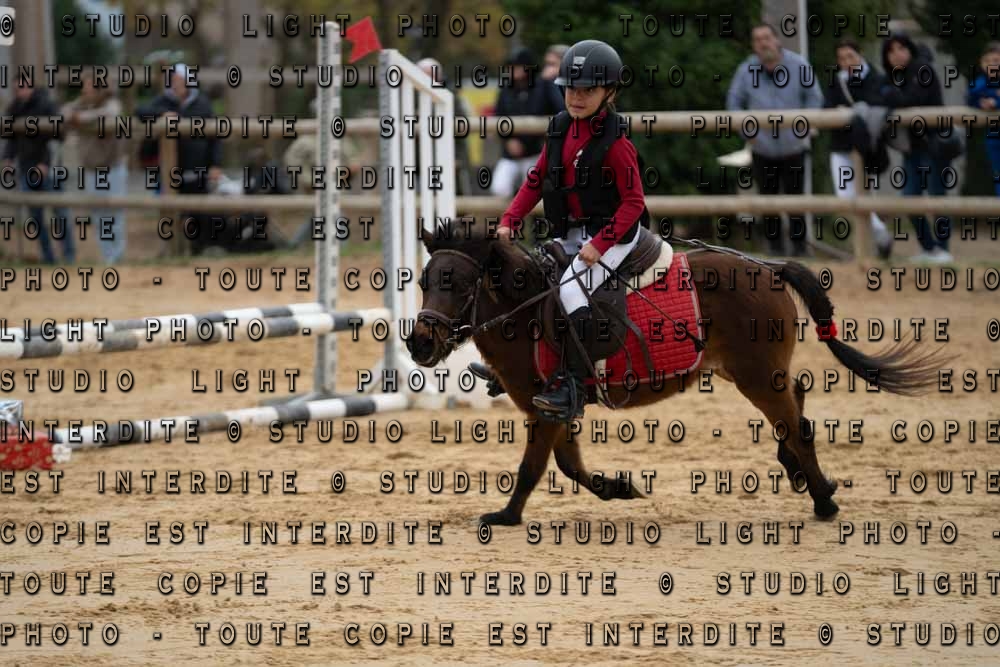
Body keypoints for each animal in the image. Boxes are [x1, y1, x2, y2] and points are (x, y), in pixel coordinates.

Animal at [407, 227, 947, 526]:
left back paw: (822, 502)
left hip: (755, 374)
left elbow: (534, 467)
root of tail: (766, 267)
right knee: (796, 401)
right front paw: (620, 488)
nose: (419, 344)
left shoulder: (546, 407)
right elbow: (570, 466)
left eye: (459, 284)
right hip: (750, 371)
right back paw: (807, 478)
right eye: (425, 280)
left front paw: (506, 516)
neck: (527, 309)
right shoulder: (558, 408)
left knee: (796, 424)